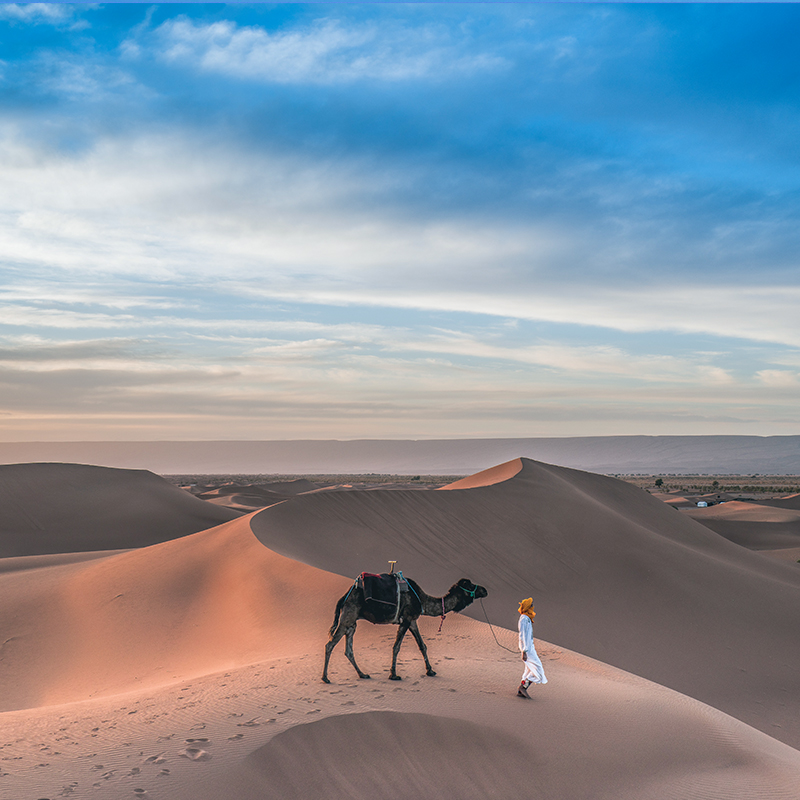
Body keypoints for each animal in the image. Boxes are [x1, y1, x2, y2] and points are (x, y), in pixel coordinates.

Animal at [320, 576, 484, 680]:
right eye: (470, 585)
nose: (485, 590)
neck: (422, 600)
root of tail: (344, 596)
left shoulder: (412, 620)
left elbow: (422, 645)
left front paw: (430, 671)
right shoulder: (406, 619)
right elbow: (396, 647)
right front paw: (393, 675)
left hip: (352, 623)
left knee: (348, 650)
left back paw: (363, 674)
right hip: (348, 616)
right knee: (330, 644)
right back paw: (325, 678)